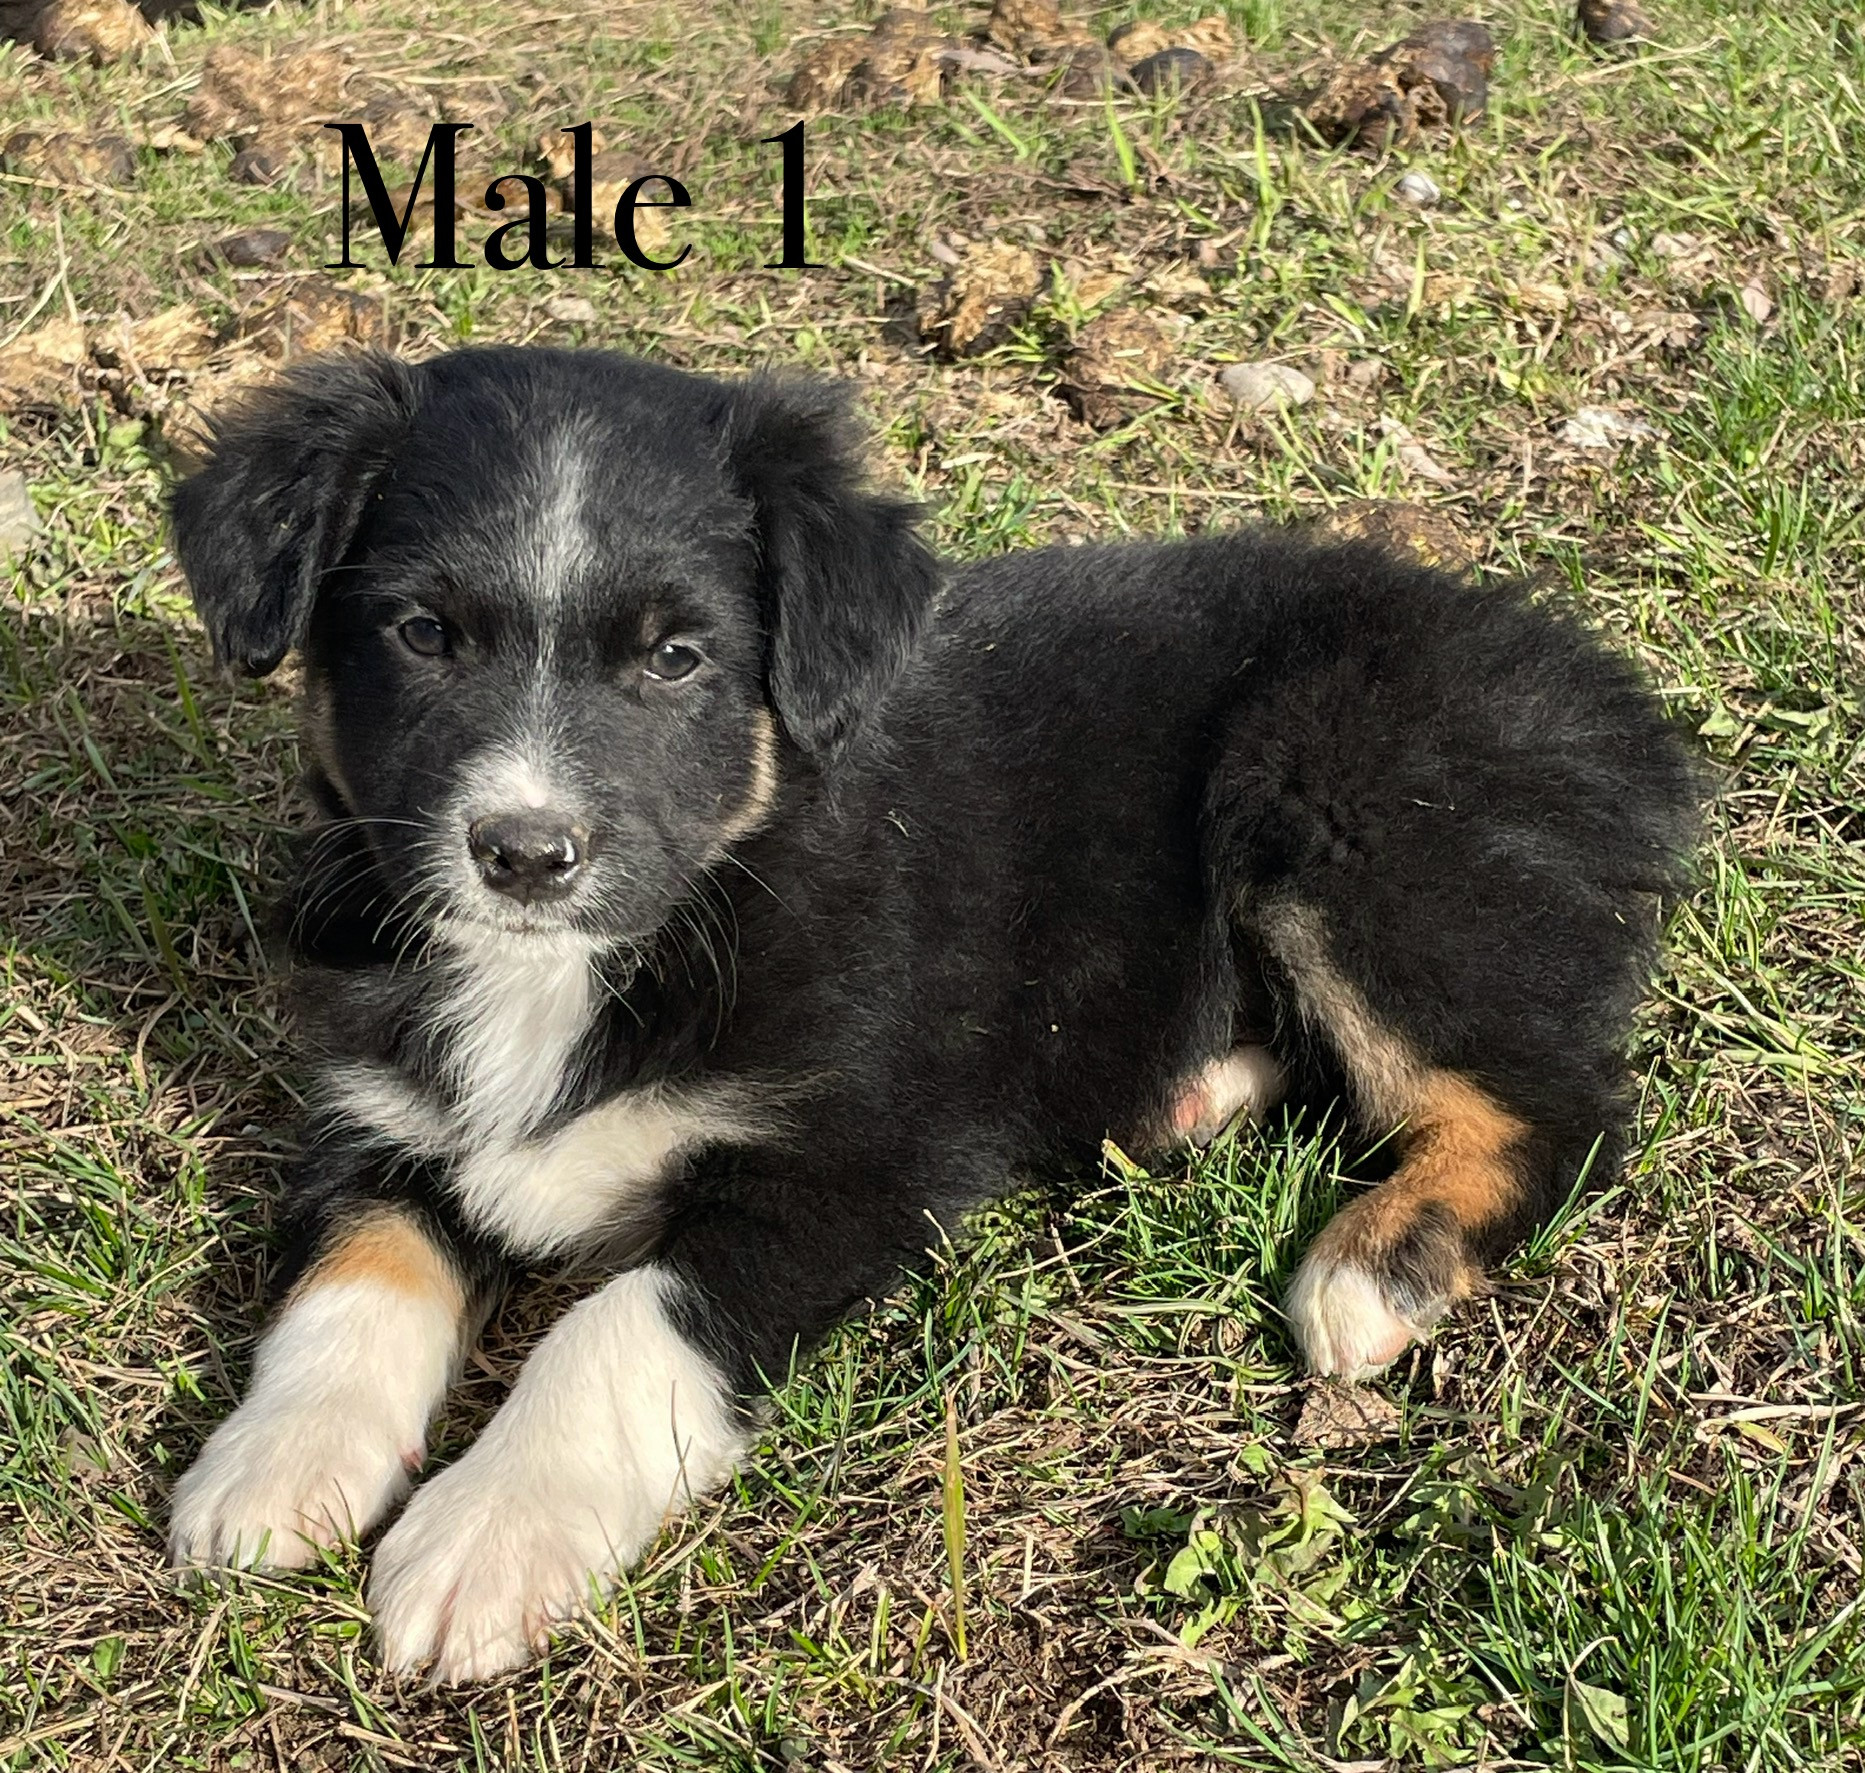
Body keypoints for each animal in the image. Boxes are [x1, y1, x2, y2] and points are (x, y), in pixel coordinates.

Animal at [162, 345, 1702, 1681]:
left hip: (1337, 800)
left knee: (1557, 1106)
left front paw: (487, 1537)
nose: (525, 854)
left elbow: (613, 1329)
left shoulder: (854, 1156)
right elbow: (352, 1275)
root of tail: (1581, 682)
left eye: (676, 658)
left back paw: (1377, 1267)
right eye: (423, 634)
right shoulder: (380, 1107)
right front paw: (274, 1467)